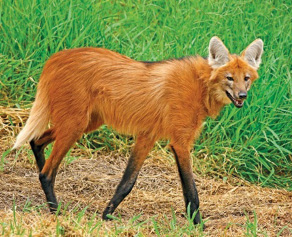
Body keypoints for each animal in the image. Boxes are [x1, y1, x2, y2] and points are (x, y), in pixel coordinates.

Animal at [13, 36, 264, 224]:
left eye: (246, 78)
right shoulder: (180, 142)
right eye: (229, 78)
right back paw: (55, 211)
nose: (242, 96)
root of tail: (56, 57)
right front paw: (199, 226)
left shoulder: (147, 136)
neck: (201, 85)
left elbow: (127, 182)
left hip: (87, 123)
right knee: (47, 172)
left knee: (36, 142)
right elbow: (191, 192)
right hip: (75, 126)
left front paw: (107, 215)